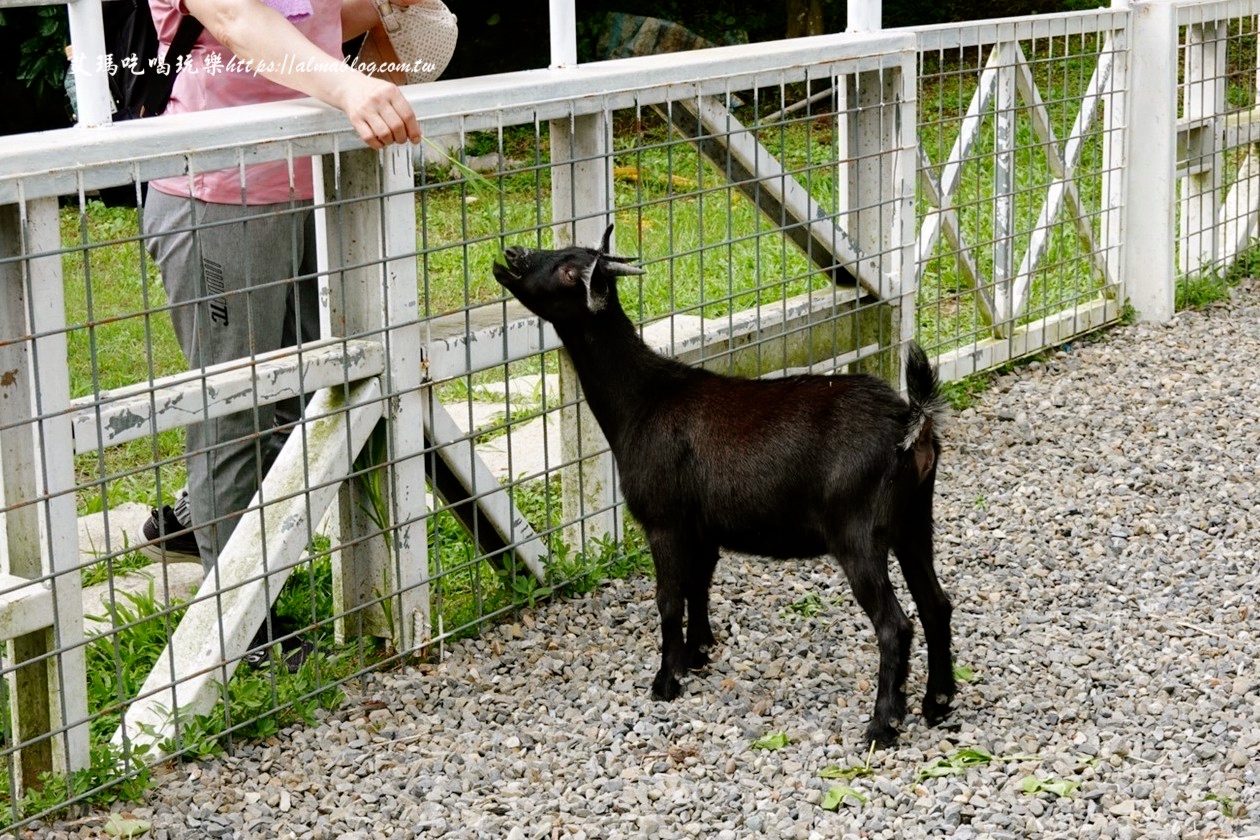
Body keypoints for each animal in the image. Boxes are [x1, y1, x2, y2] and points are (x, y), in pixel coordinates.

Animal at [491, 226, 952, 745]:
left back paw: (882, 724)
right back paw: (938, 703)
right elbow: (699, 586)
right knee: (936, 605)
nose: (512, 253)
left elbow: (670, 599)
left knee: (895, 625)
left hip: (859, 532)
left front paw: (665, 681)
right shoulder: (703, 528)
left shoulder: (664, 521)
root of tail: (912, 422)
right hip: (914, 520)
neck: (642, 401)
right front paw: (698, 655)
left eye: (572, 271)